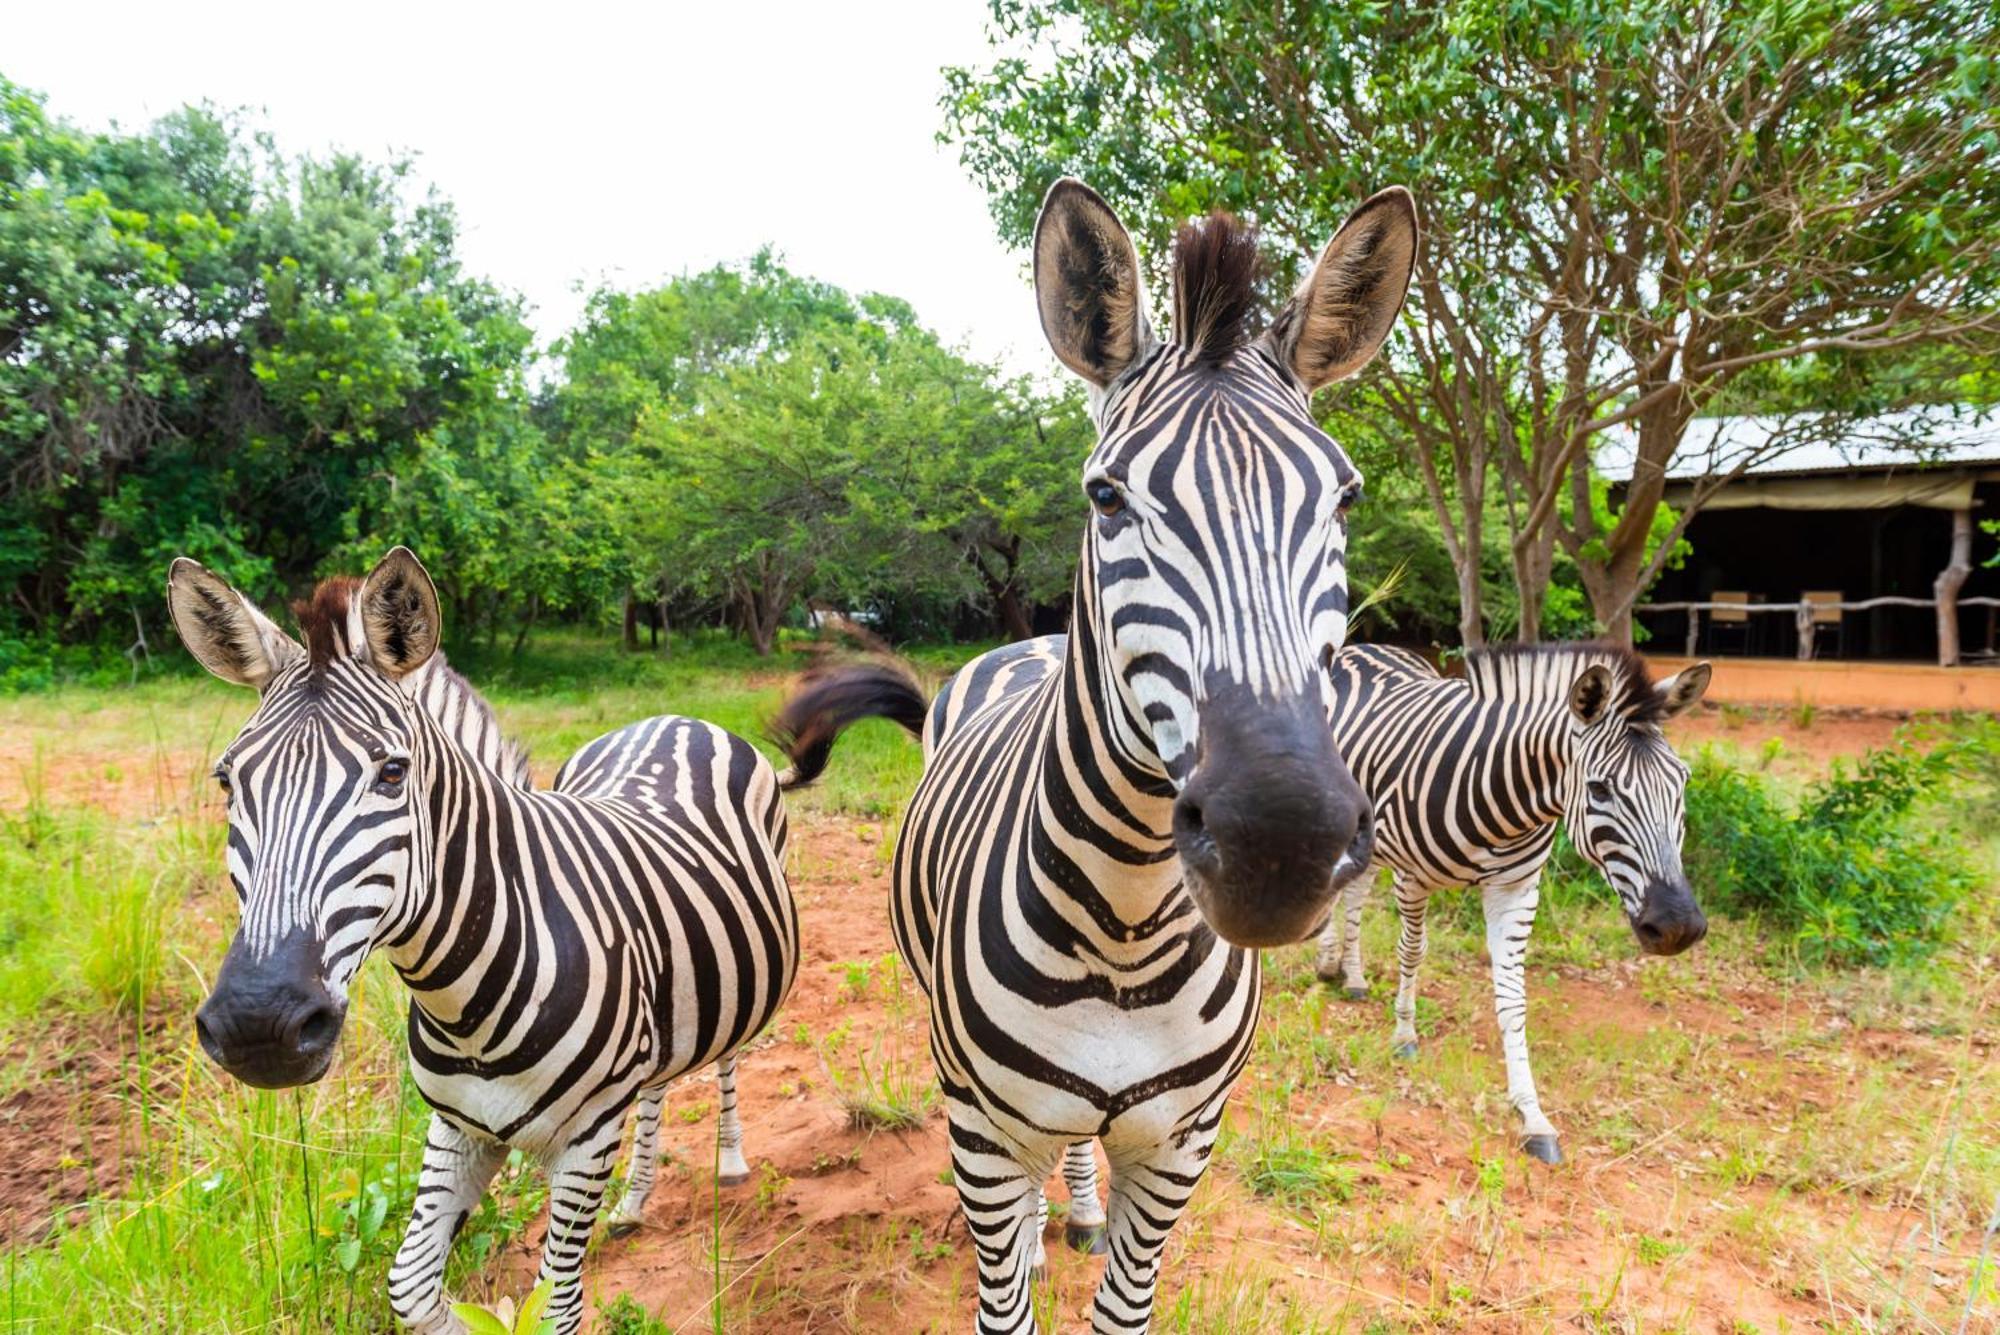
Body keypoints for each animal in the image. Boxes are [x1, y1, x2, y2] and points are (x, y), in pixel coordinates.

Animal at [168, 543, 800, 1335]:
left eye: (393, 773)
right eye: (229, 781)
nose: (259, 1025)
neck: (466, 1002)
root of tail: (672, 717)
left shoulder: (586, 1140)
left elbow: (557, 1305)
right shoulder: (459, 1124)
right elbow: (410, 1285)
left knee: (726, 1059)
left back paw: (732, 1159)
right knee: (659, 1081)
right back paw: (635, 1199)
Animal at [772, 179, 1416, 1335]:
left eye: (1344, 499)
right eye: (1105, 498)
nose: (1279, 842)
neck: (1125, 930)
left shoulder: (1182, 1146)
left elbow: (1124, 1305)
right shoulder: (982, 1135)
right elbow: (1002, 1296)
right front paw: (1025, 1246)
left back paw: (1068, 1211)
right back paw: (1042, 1223)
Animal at [1304, 639, 1712, 1159]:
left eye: (1682, 781)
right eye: (1600, 789)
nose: (1678, 926)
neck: (1504, 796)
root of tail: (1368, 645)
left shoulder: (1516, 889)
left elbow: (1513, 997)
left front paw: (1532, 1114)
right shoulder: (1412, 877)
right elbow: (1412, 952)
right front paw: (1404, 1034)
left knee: (1354, 890)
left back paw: (1350, 974)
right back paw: (1327, 963)